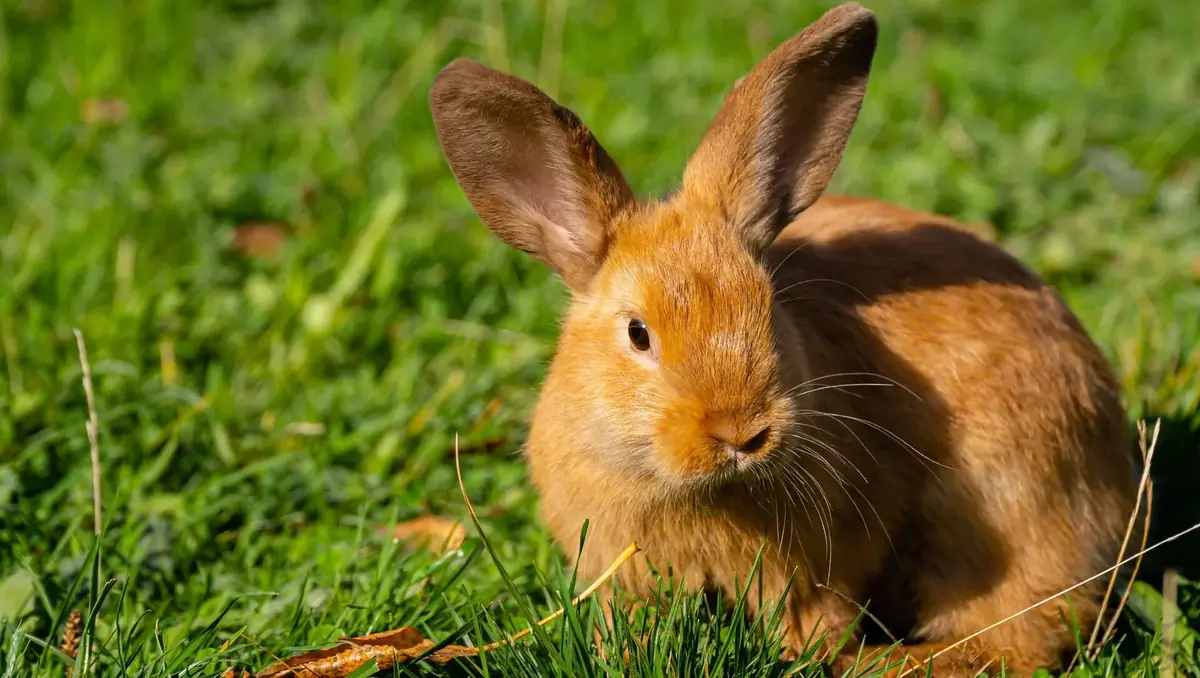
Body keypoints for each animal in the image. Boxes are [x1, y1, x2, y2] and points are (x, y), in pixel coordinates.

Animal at [428, 3, 1138, 675]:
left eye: (768, 311)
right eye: (638, 334)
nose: (741, 434)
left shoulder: (817, 568)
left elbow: (813, 620)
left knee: (1021, 636)